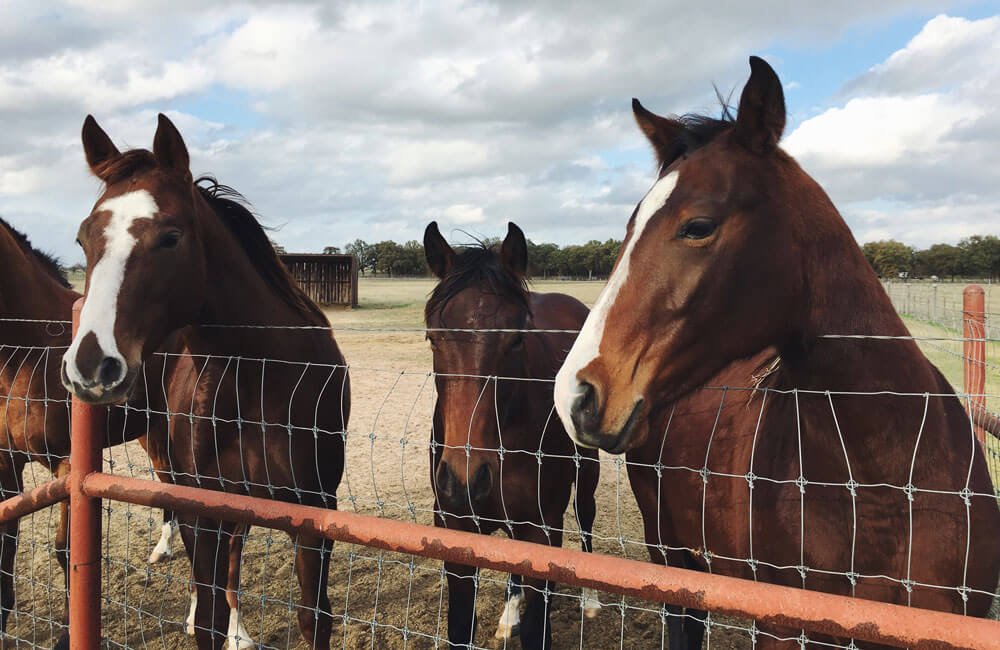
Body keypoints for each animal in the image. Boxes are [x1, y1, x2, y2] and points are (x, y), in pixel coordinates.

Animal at [62, 114, 352, 644]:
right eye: (82, 239)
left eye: (171, 237)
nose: (92, 365)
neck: (263, 380)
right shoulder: (204, 511)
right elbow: (208, 620)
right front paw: (210, 619)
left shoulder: (315, 515)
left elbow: (313, 618)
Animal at [424, 220, 600, 644]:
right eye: (432, 337)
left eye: (517, 338)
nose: (465, 478)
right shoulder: (456, 532)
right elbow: (460, 626)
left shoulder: (542, 533)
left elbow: (539, 630)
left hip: (587, 469)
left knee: (585, 515)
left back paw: (590, 600)